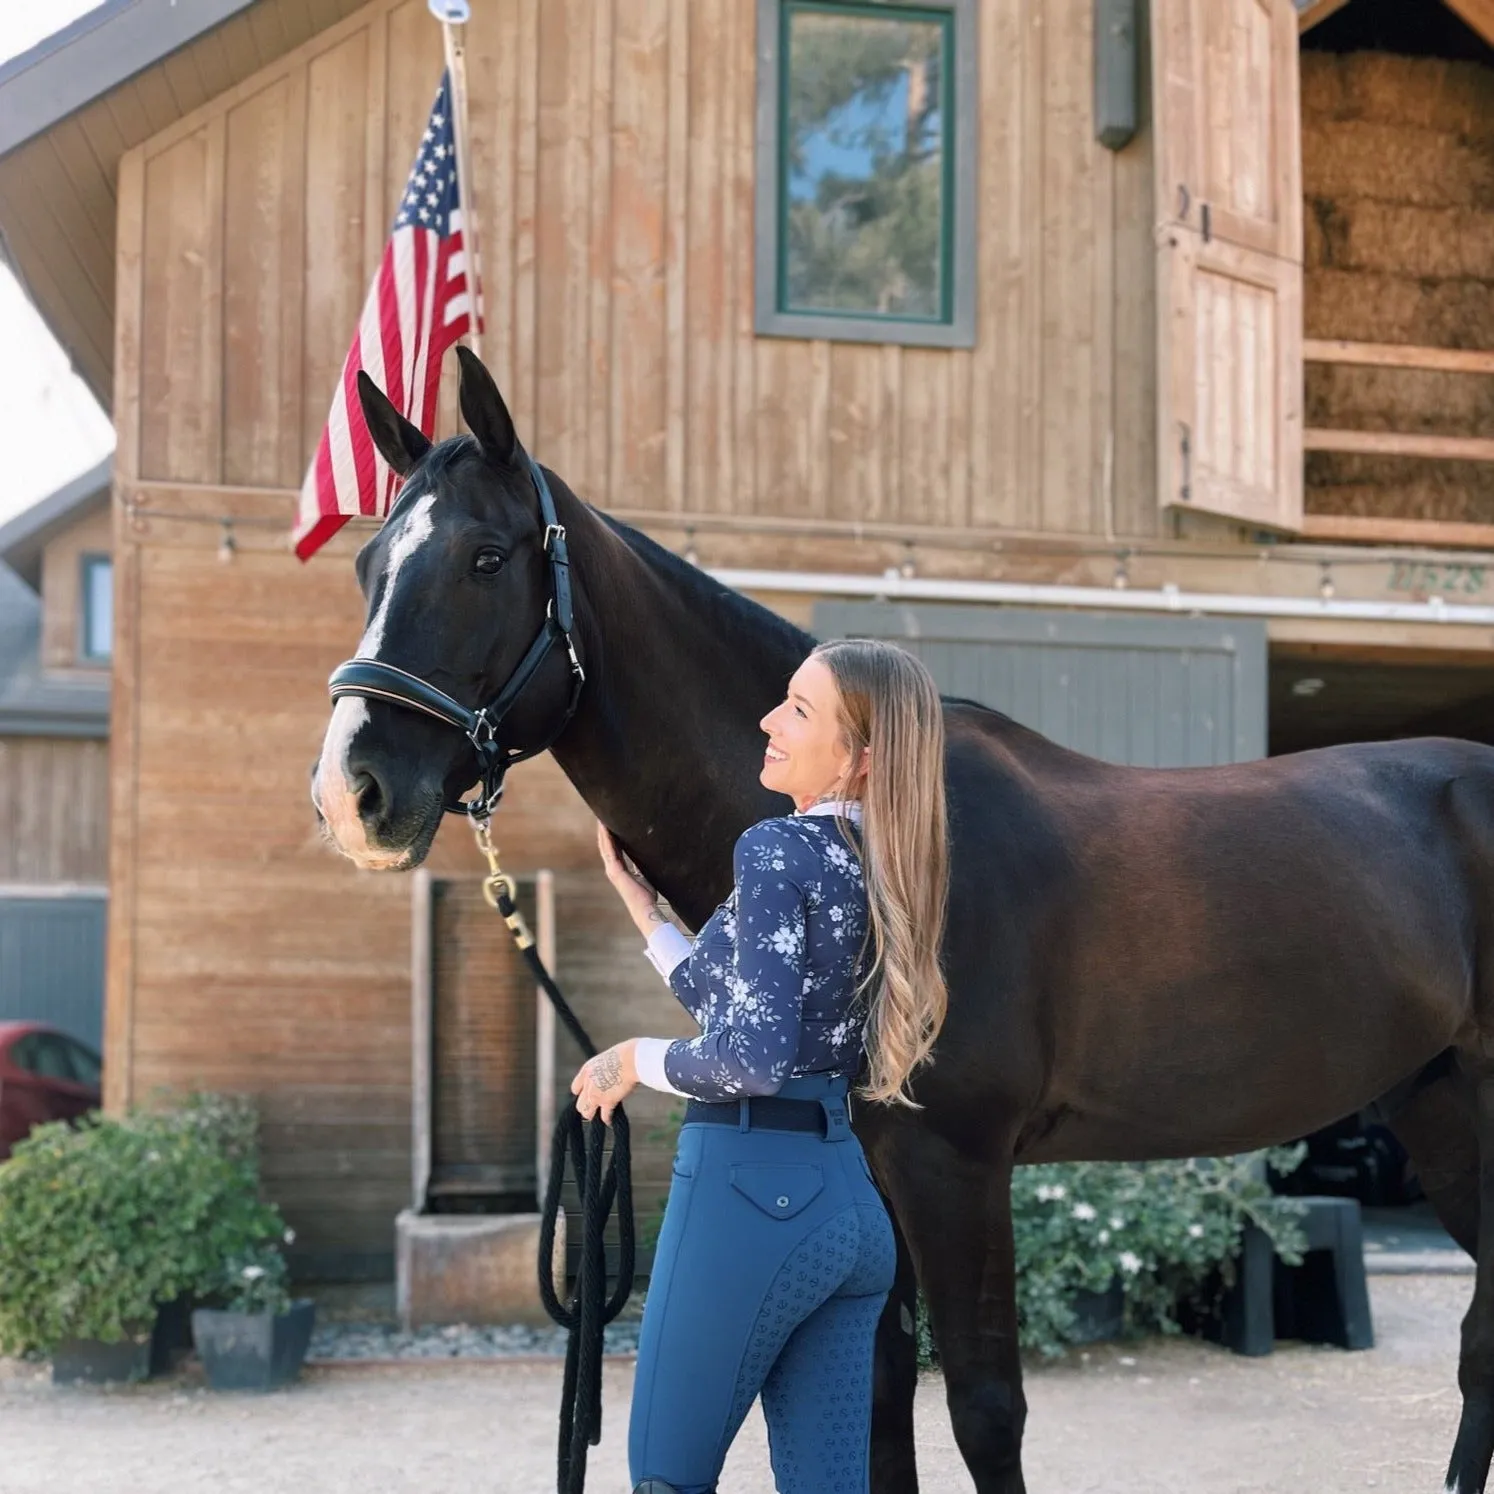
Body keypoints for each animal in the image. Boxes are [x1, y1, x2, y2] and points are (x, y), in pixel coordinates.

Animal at [309, 343, 1488, 1488]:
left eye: (485, 559)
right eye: (368, 566)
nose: (350, 793)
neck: (878, 839)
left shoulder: (954, 1166)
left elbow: (986, 1412)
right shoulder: (874, 1178)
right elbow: (871, 1411)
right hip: (1442, 1111)